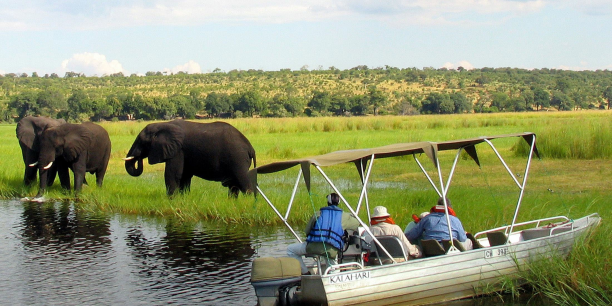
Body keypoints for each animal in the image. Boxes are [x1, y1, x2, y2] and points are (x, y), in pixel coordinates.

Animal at [124, 119, 256, 196]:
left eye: (142, 141)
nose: (139, 157)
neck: (162, 124)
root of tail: (251, 148)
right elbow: (185, 176)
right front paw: (183, 198)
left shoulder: (178, 150)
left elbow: (173, 174)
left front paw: (171, 199)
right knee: (234, 185)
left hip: (238, 159)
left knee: (243, 181)